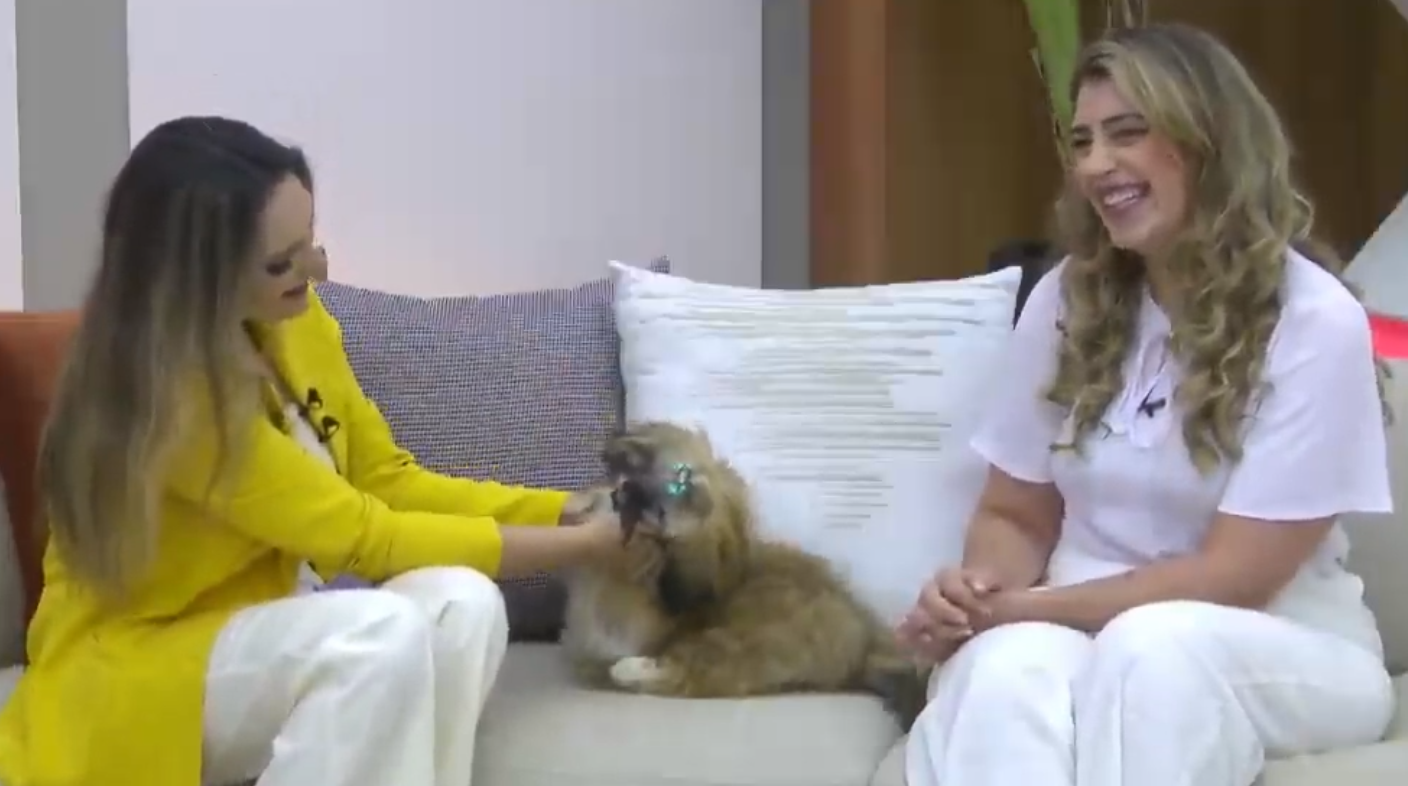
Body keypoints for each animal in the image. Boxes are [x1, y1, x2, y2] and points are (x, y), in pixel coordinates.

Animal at [560, 421, 929, 731]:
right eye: (674, 474)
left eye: (680, 488)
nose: (638, 496)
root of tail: (866, 641)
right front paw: (578, 504)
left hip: (741, 639)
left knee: (688, 676)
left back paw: (632, 669)